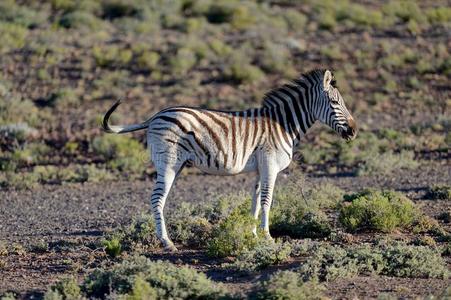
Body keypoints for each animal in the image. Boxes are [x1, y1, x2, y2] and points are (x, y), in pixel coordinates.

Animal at [101, 69, 356, 252]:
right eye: (335, 103)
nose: (354, 131)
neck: (283, 124)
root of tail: (155, 116)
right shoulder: (270, 165)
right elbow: (267, 201)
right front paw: (267, 237)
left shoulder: (260, 168)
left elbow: (255, 202)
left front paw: (252, 235)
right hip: (169, 162)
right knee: (156, 199)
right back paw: (167, 242)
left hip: (176, 164)